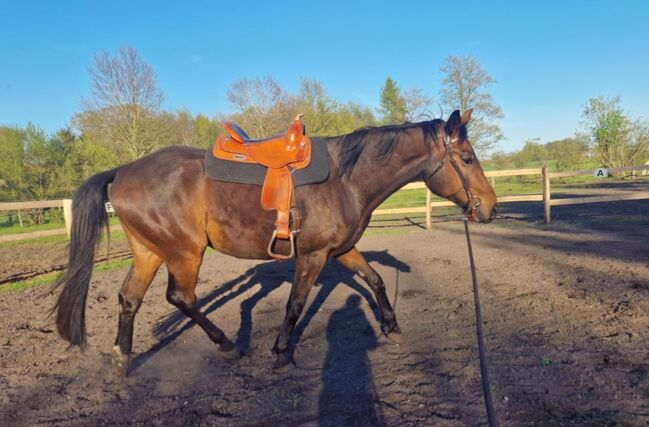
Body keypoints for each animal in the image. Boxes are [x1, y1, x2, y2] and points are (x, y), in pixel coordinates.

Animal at [54, 109, 496, 374]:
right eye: (468, 159)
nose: (489, 207)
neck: (346, 179)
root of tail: (123, 170)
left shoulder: (341, 250)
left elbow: (375, 280)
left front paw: (391, 325)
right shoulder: (313, 256)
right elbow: (295, 304)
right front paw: (283, 351)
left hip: (149, 251)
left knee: (129, 298)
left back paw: (122, 358)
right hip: (184, 253)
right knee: (181, 298)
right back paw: (228, 345)